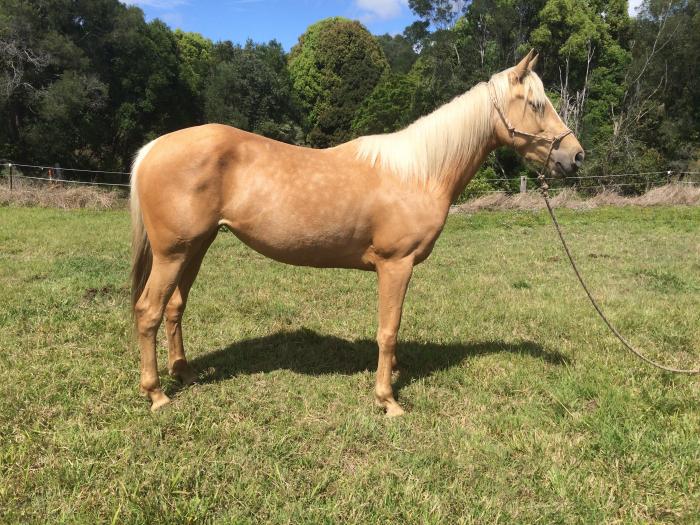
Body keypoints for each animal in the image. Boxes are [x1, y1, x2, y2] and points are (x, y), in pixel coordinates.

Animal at [130, 50, 584, 415]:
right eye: (536, 103)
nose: (575, 156)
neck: (419, 172)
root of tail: (151, 149)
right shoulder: (396, 265)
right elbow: (388, 330)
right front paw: (388, 399)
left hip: (196, 248)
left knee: (174, 308)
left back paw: (185, 374)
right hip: (173, 253)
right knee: (149, 311)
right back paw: (156, 394)